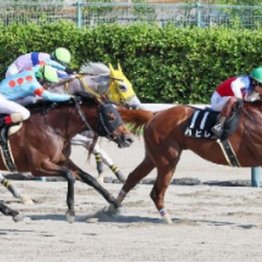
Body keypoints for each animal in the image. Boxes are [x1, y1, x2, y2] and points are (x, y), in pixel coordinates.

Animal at [0, 93, 133, 222]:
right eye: (111, 116)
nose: (129, 139)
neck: (52, 127)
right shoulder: (39, 167)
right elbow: (70, 175)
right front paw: (71, 211)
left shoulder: (63, 160)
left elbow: (88, 178)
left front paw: (115, 203)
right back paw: (13, 211)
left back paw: (13, 212)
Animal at [109, 102, 260, 223]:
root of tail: (154, 114)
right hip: (167, 160)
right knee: (156, 192)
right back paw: (167, 219)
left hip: (152, 158)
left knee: (132, 177)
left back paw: (112, 207)